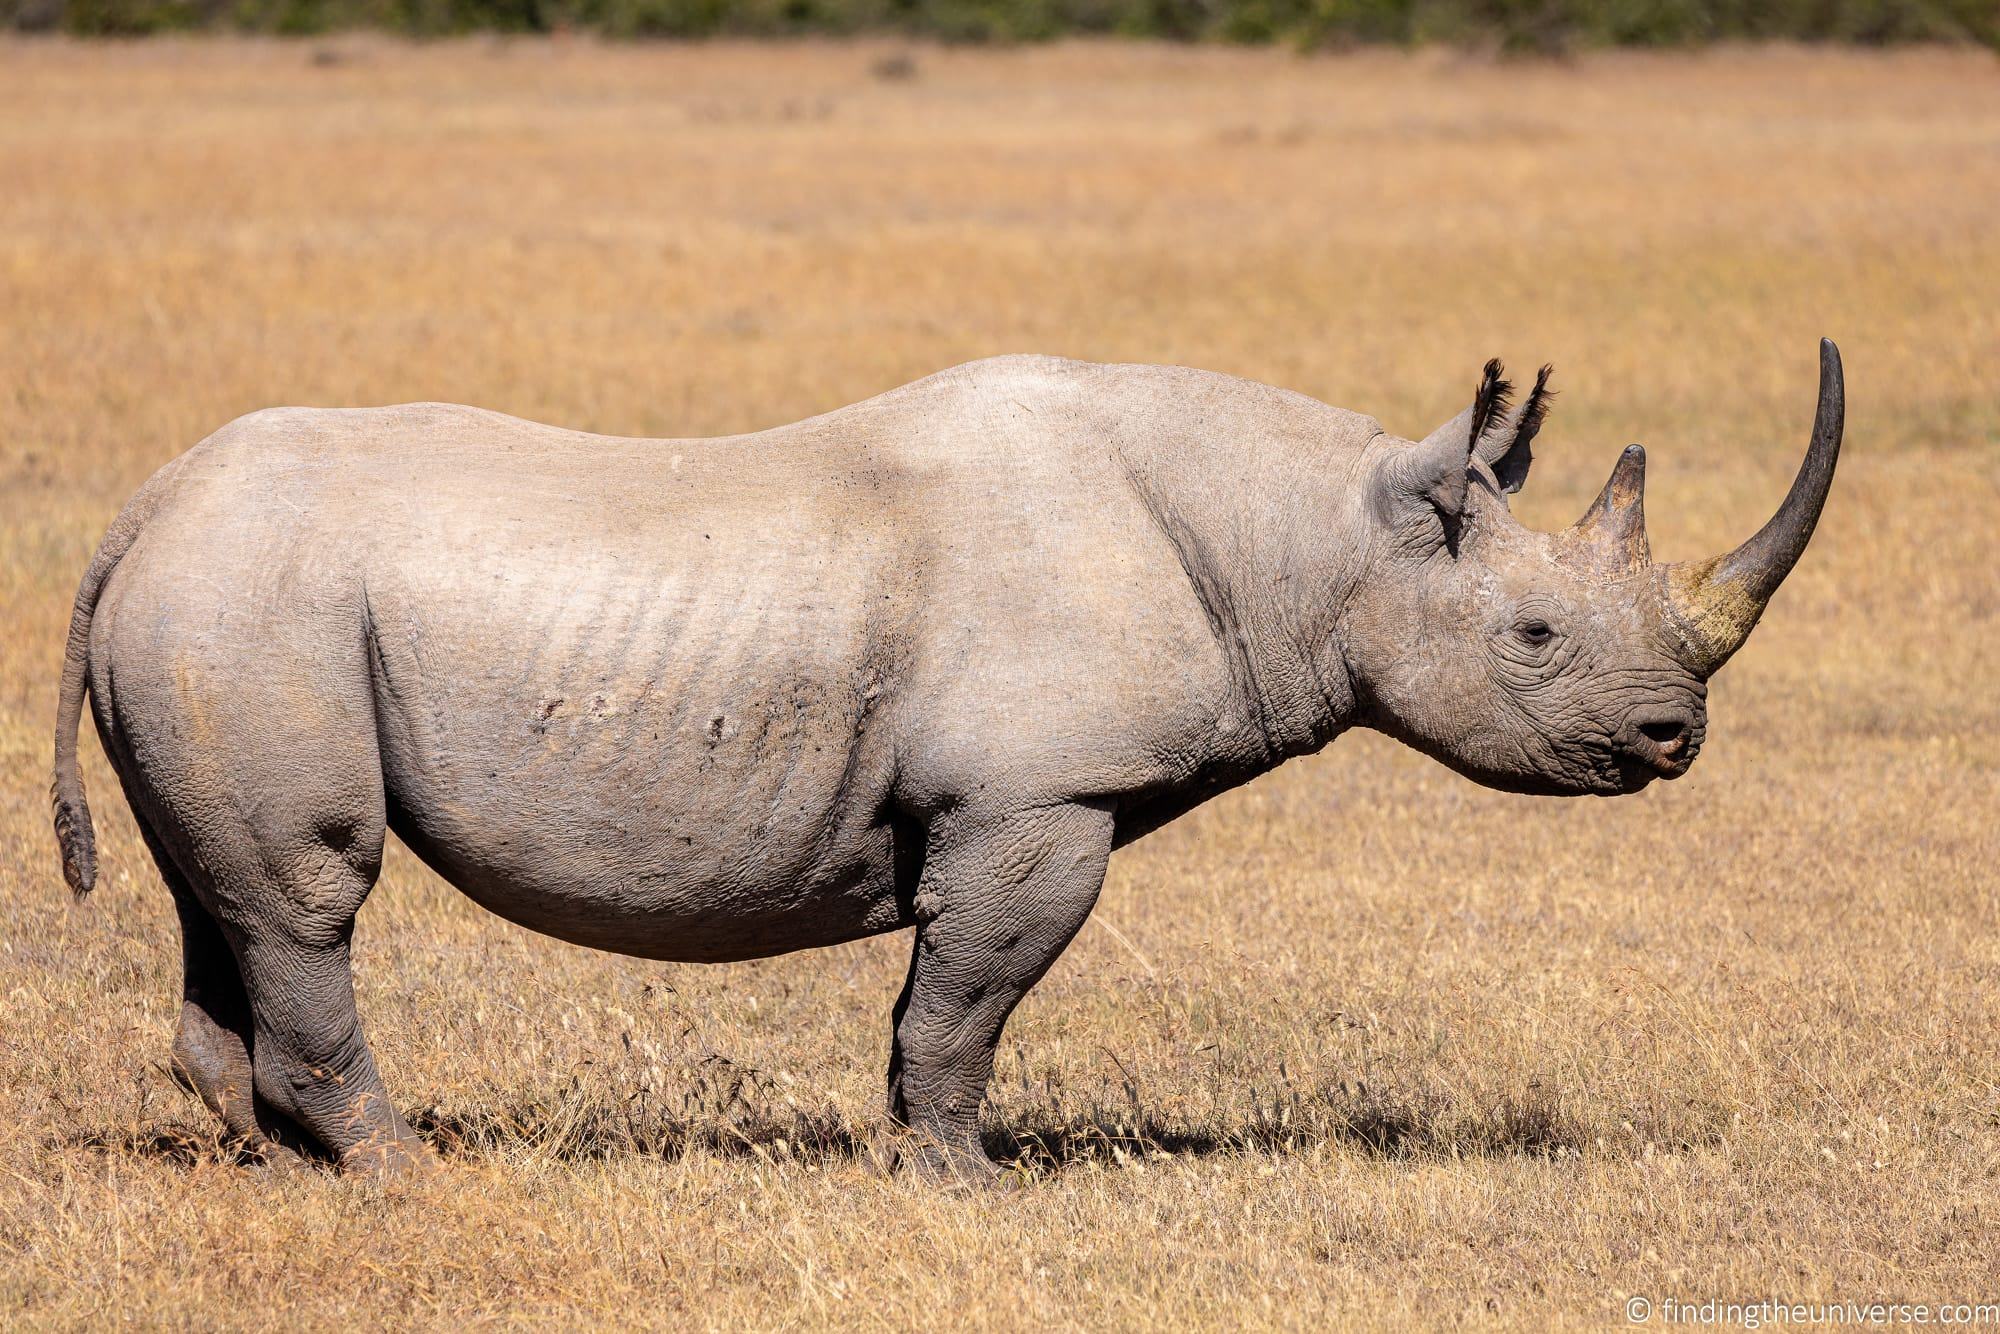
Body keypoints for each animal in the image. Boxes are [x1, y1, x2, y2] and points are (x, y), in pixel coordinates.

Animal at [51, 340, 1843, 1179]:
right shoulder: (1038, 794)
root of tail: (136, 510)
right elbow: (968, 996)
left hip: (221, 610)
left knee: (232, 897)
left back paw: (273, 1161)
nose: (1674, 739)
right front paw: (968, 1177)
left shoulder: (1017, 795)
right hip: (252, 605)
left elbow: (950, 996)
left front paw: (935, 1162)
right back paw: (411, 1167)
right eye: (1535, 637)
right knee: (309, 893)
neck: (1314, 539)